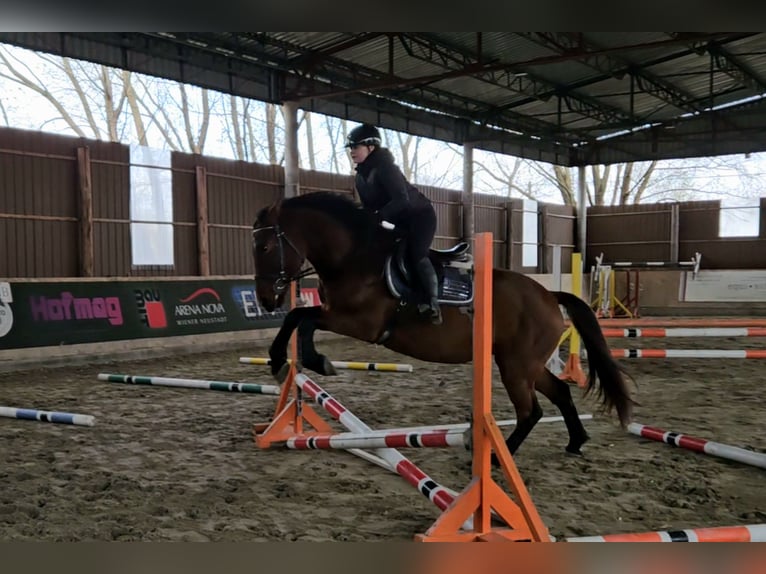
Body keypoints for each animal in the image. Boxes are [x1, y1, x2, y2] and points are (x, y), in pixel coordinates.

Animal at [252, 192, 636, 460]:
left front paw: (303, 360)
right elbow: (299, 318)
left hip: (516, 365)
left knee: (531, 410)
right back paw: (575, 441)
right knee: (559, 392)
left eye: (266, 246)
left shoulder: (360, 323)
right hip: (523, 363)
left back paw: (498, 459)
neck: (354, 256)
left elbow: (302, 320)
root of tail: (548, 295)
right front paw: (287, 360)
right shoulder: (341, 315)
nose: (265, 299)